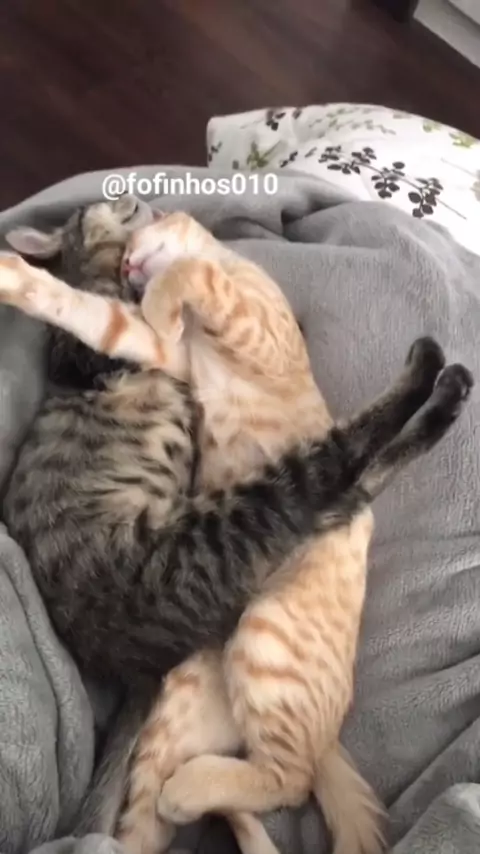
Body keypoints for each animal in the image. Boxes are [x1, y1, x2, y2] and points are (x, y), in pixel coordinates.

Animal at [0, 202, 473, 854]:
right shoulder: (157, 348)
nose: (131, 266)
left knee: (287, 780)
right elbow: (107, 313)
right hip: (194, 690)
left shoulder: (229, 323)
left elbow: (177, 283)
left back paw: (437, 376)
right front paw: (31, 281)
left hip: (263, 617)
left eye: (128, 215)